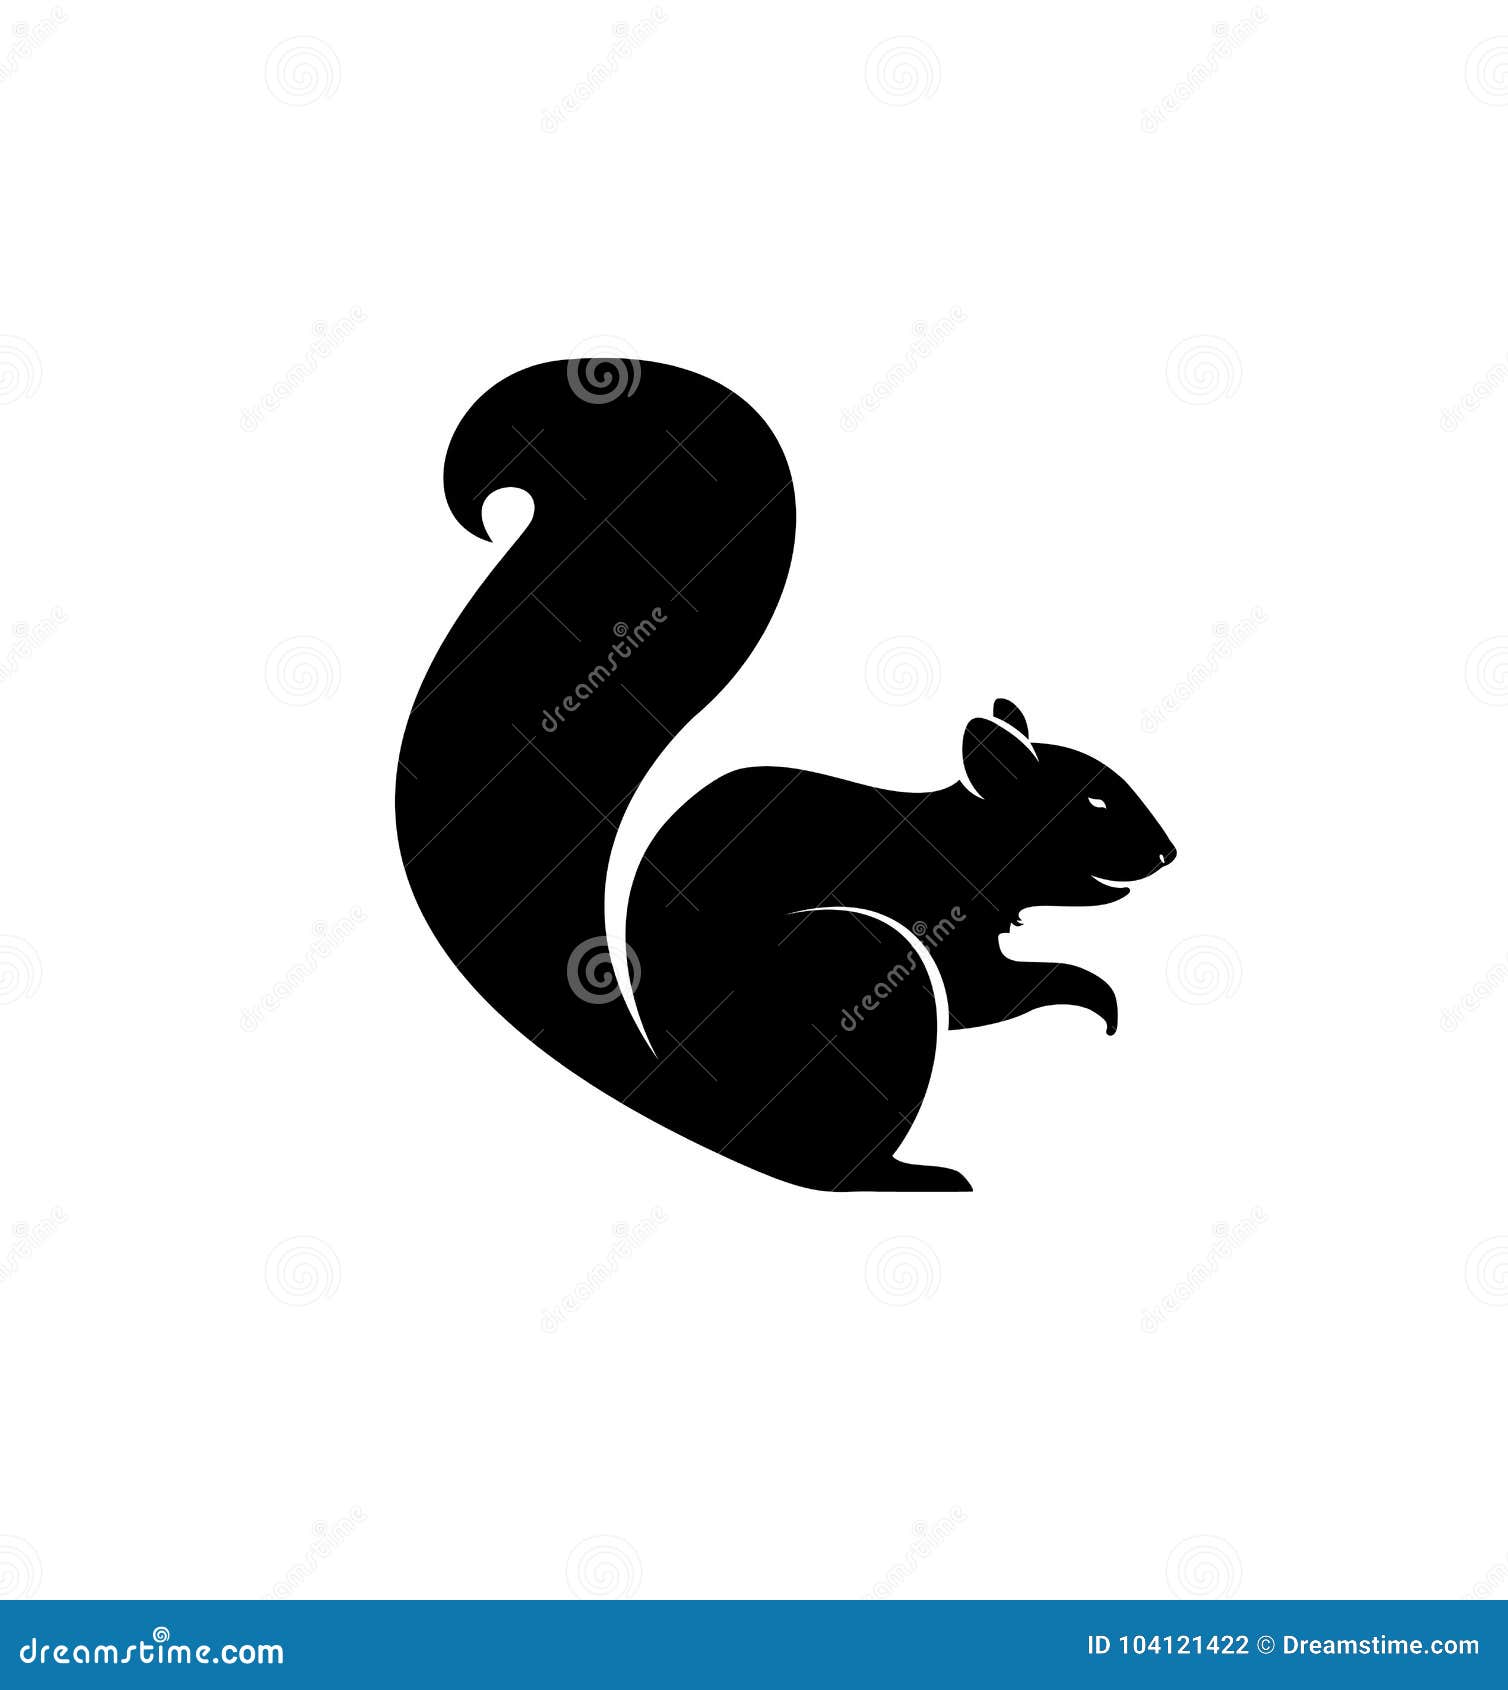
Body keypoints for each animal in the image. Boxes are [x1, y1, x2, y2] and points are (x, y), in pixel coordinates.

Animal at [396, 358, 1176, 1192]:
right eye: (1094, 804)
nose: (1169, 853)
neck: (955, 836)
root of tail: (681, 1099)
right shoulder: (937, 909)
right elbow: (981, 996)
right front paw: (1094, 997)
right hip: (858, 968)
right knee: (825, 1164)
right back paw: (912, 1175)